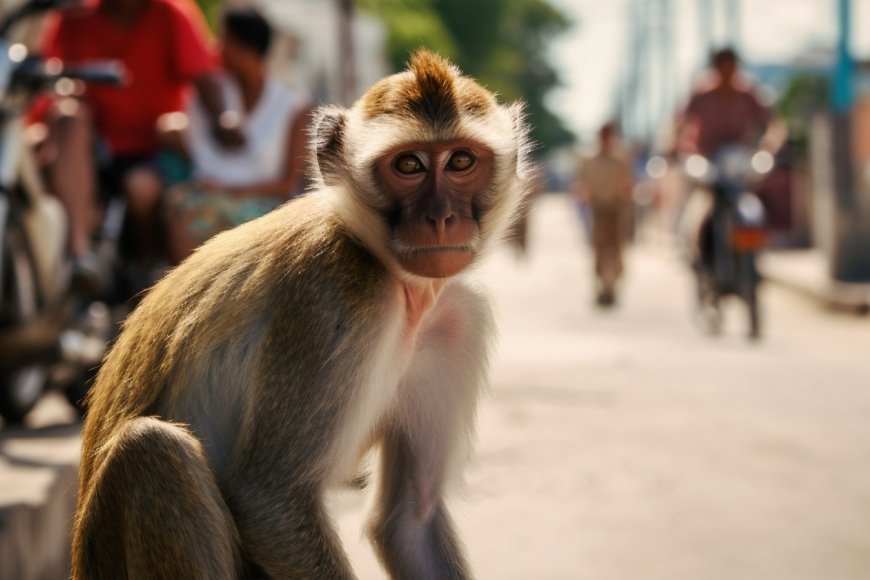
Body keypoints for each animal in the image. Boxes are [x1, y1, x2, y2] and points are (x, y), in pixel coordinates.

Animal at [71, 49, 534, 580]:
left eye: (460, 161)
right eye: (409, 165)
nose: (441, 218)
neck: (395, 279)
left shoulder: (457, 320)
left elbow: (409, 517)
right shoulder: (336, 291)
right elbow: (271, 502)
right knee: (152, 449)